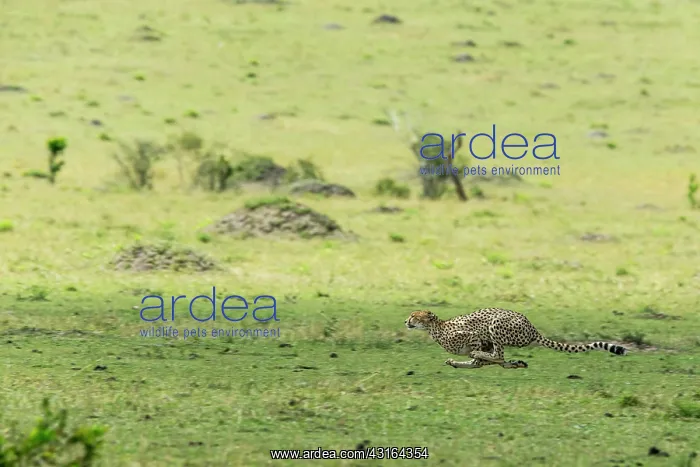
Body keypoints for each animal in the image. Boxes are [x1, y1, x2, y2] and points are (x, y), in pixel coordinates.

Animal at [404, 308, 627, 369]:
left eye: (414, 316)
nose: (406, 321)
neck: (436, 328)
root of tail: (533, 329)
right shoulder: (484, 343)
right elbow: (479, 362)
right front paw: (455, 362)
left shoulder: (475, 336)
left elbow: (480, 357)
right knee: (499, 359)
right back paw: (515, 363)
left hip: (496, 323)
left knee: (498, 356)